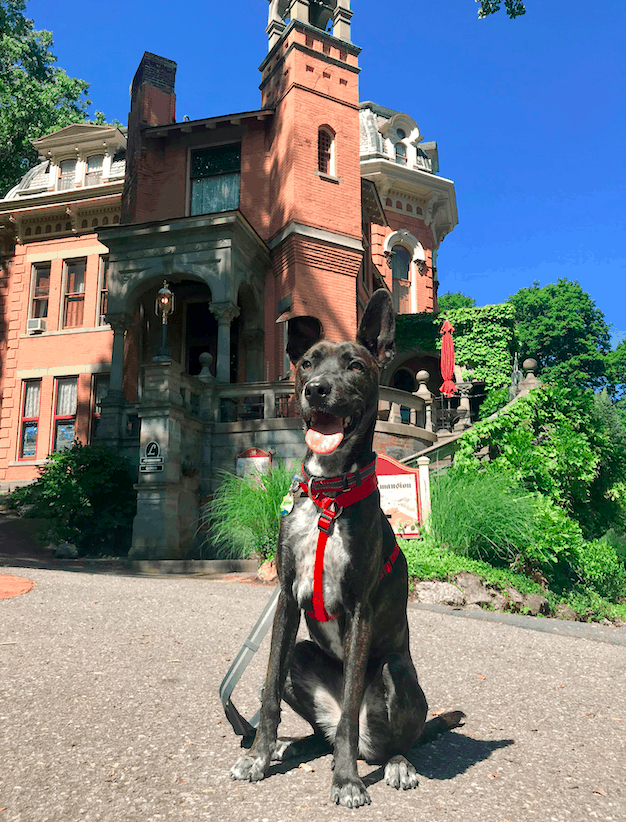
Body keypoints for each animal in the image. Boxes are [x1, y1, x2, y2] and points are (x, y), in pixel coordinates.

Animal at [230, 290, 464, 812]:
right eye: (307, 363)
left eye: (355, 365)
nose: (317, 390)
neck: (328, 492)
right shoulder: (286, 602)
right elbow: (268, 693)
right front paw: (258, 757)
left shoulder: (360, 610)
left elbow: (352, 708)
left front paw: (346, 781)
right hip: (301, 655)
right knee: (324, 727)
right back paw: (291, 746)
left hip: (397, 671)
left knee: (380, 734)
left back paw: (394, 764)